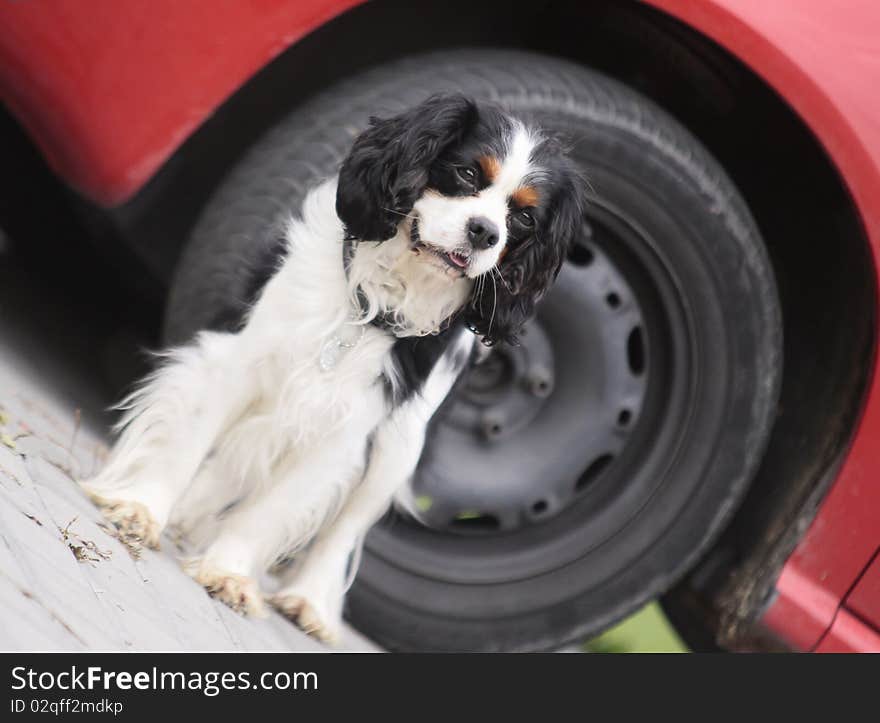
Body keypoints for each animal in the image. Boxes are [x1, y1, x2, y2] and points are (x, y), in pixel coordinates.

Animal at [82, 93, 588, 640]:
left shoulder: (345, 428)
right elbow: (185, 446)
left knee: (343, 527)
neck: (375, 302)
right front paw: (142, 508)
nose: (485, 233)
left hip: (398, 449)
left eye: (525, 220)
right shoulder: (239, 360)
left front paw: (230, 573)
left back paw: (307, 600)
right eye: (468, 173)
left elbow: (272, 509)